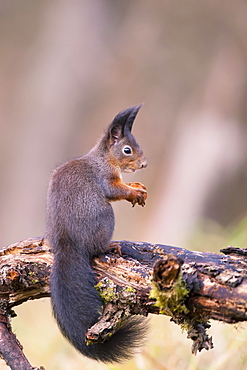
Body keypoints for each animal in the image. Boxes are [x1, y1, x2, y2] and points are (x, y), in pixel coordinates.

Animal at [45, 103, 148, 362]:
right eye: (127, 149)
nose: (144, 164)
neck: (104, 157)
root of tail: (67, 243)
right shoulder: (105, 178)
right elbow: (114, 190)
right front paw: (134, 191)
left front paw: (136, 186)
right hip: (106, 217)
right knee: (97, 248)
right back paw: (111, 246)